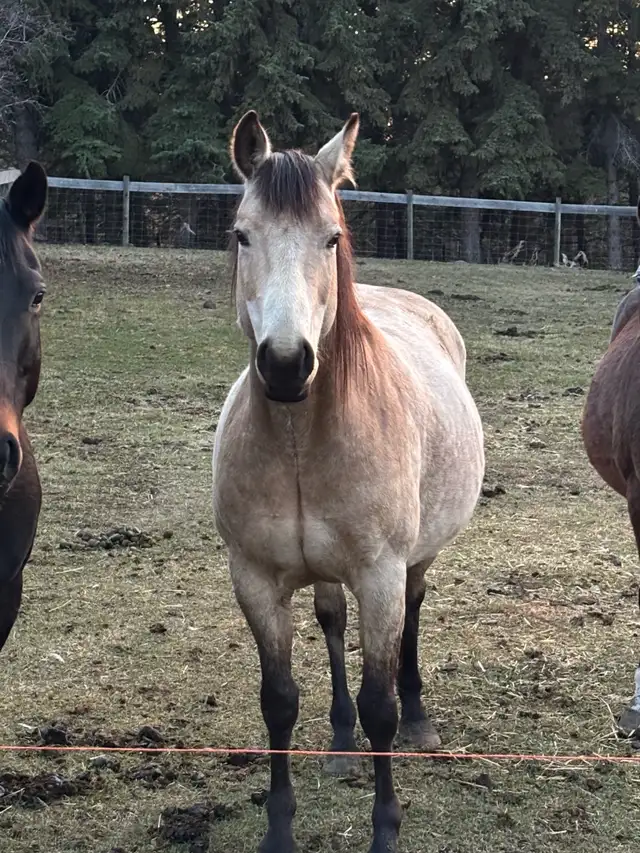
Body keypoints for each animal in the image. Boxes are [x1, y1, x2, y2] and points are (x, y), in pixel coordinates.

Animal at [212, 111, 485, 853]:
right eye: (242, 234)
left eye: (330, 237)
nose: (284, 364)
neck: (300, 439)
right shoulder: (254, 580)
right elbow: (278, 701)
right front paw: (279, 830)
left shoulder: (380, 575)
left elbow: (379, 703)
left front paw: (385, 829)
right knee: (332, 621)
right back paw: (339, 740)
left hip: (414, 560)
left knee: (413, 615)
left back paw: (419, 720)